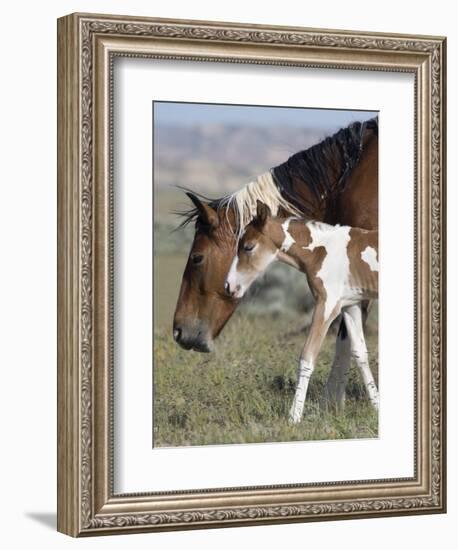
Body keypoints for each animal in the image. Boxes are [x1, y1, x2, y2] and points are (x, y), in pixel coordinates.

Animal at [225, 204, 380, 426]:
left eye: (248, 247)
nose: (229, 286)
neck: (321, 251)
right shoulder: (350, 305)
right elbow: (360, 354)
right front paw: (378, 407)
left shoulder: (326, 305)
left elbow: (307, 356)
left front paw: (294, 417)